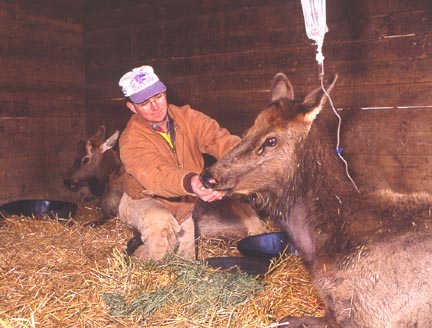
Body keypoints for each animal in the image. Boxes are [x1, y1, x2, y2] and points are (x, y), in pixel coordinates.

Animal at [64, 125, 264, 238]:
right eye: (74, 156)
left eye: (86, 159)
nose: (67, 180)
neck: (107, 181)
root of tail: (256, 224)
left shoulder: (110, 213)